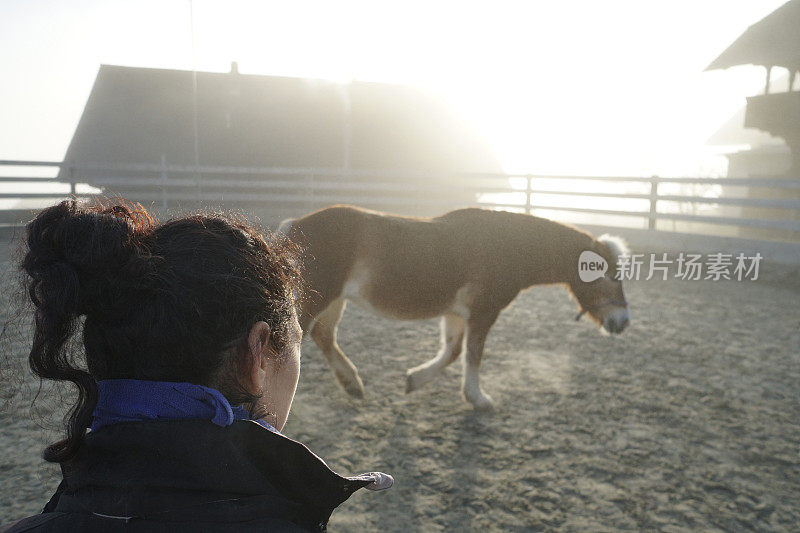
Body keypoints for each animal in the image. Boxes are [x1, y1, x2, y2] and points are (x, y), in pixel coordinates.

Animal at [282, 204, 632, 408]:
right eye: (607, 275)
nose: (623, 321)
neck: (507, 246)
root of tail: (294, 225)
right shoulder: (483, 313)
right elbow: (473, 354)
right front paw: (478, 398)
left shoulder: (456, 313)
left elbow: (452, 352)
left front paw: (414, 380)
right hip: (317, 300)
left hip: (334, 301)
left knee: (325, 337)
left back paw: (352, 385)